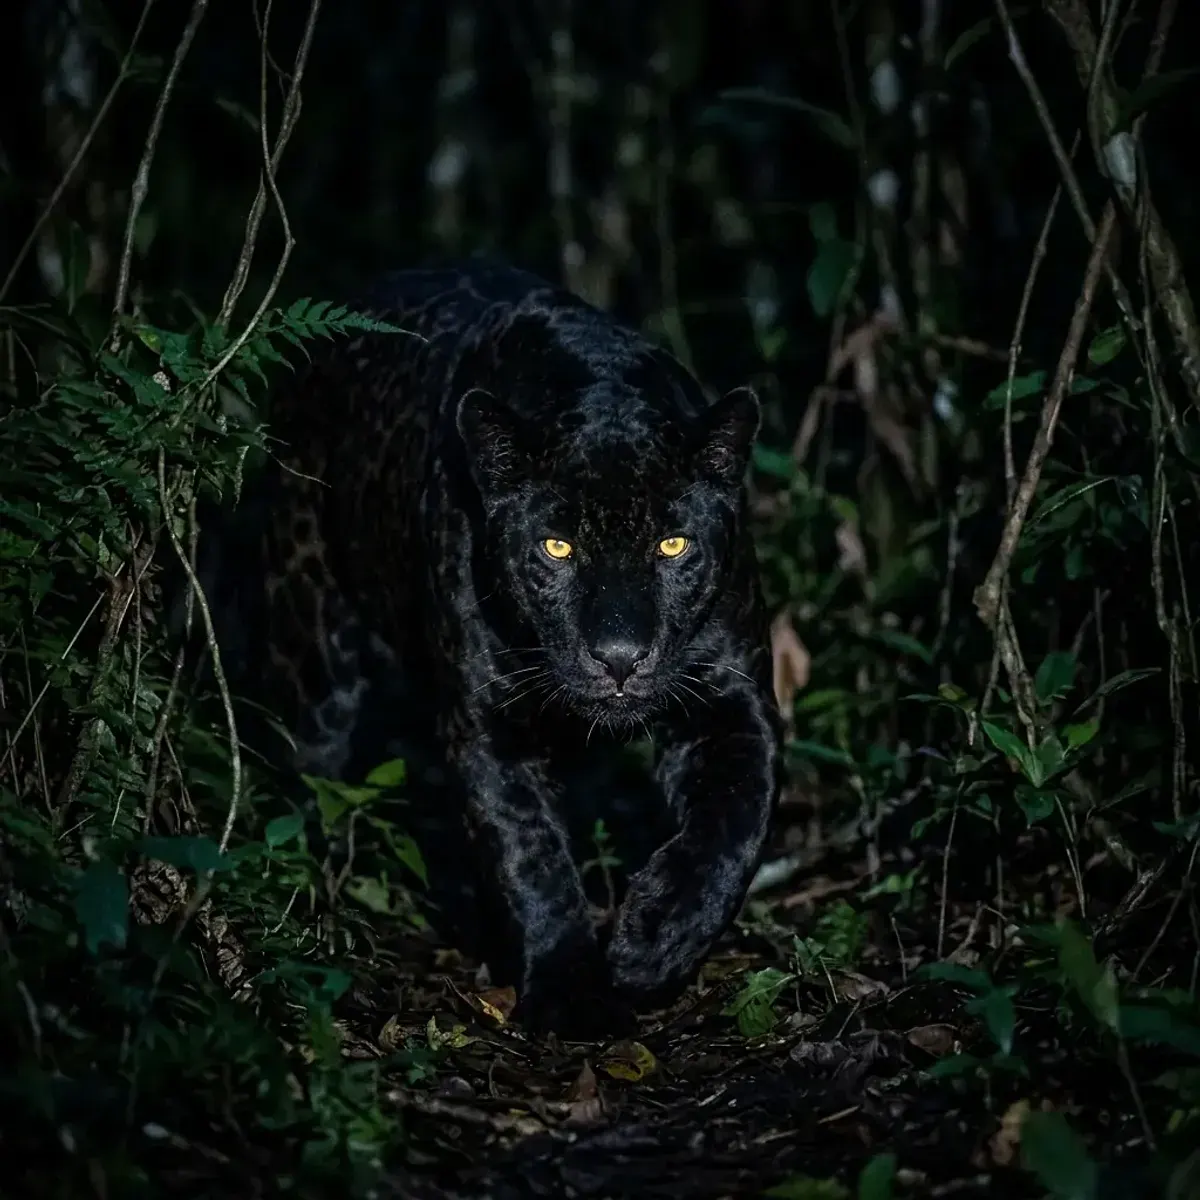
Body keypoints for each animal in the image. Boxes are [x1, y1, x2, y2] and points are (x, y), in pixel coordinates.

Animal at [220, 262, 783, 1038]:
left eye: (674, 545)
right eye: (556, 546)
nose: (618, 655)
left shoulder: (732, 699)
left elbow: (737, 824)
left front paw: (652, 945)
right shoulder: (489, 726)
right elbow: (530, 856)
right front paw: (571, 993)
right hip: (314, 658)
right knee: (311, 783)